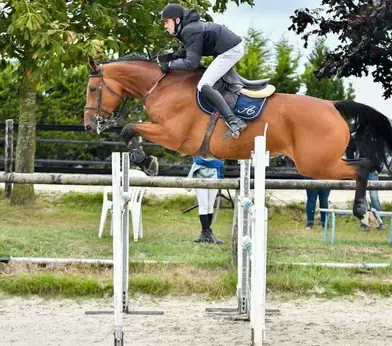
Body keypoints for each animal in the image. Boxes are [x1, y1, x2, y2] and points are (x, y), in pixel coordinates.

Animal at [83, 53, 392, 227]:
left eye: (92, 88)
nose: (88, 125)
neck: (162, 86)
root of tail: (332, 105)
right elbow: (130, 130)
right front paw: (145, 161)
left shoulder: (172, 135)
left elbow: (128, 129)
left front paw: (146, 161)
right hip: (318, 163)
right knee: (362, 167)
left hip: (316, 164)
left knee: (363, 166)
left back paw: (363, 211)